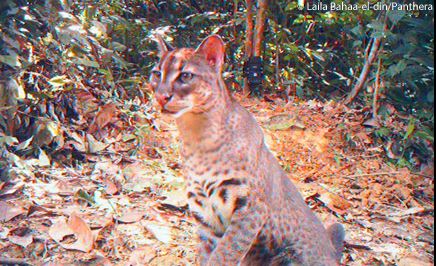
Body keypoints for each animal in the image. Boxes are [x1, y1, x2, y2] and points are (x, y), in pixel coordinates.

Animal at [150, 35, 344, 266]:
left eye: (185, 75)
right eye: (156, 73)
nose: (161, 96)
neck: (196, 135)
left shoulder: (250, 208)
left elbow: (224, 254)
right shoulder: (205, 215)